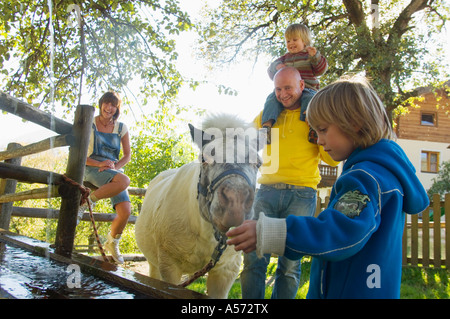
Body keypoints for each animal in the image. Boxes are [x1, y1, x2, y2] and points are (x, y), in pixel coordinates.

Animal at [136, 115, 264, 300]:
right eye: (204, 159)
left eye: (258, 163)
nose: (235, 205)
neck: (205, 234)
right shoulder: (169, 267)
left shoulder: (226, 272)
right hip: (154, 264)